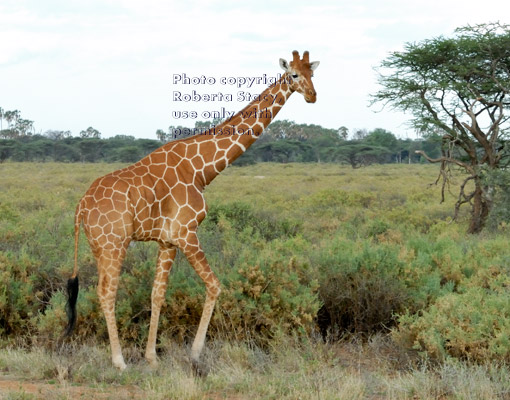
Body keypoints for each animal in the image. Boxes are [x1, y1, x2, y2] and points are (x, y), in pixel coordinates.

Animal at [63, 50, 318, 372]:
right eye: (294, 75)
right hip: (114, 244)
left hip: (99, 246)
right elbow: (215, 286)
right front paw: (195, 354)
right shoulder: (187, 233)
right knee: (107, 292)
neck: (201, 169)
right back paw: (119, 362)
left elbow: (157, 294)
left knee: (101, 290)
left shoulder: (168, 241)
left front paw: (152, 357)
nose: (312, 95)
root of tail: (80, 206)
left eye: (313, 73)